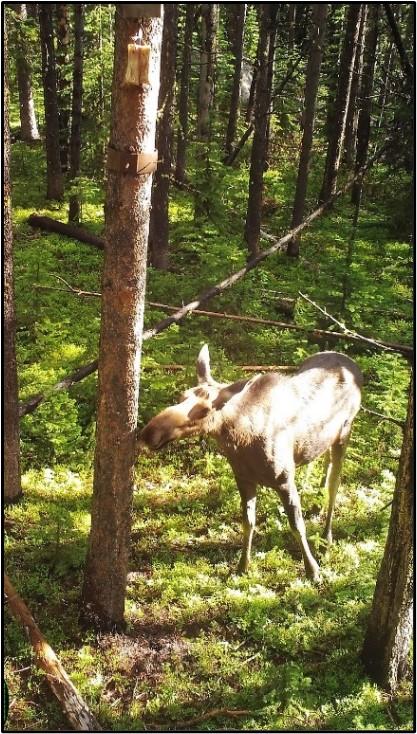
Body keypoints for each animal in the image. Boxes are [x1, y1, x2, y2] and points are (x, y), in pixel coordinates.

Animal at [138, 348, 362, 584]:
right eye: (181, 396)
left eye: (205, 410)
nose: (149, 433)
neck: (241, 441)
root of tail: (353, 365)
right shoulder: (243, 478)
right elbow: (248, 522)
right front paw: (242, 567)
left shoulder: (285, 480)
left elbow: (296, 526)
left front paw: (313, 571)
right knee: (325, 463)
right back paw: (318, 506)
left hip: (345, 431)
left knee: (335, 483)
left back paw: (327, 536)